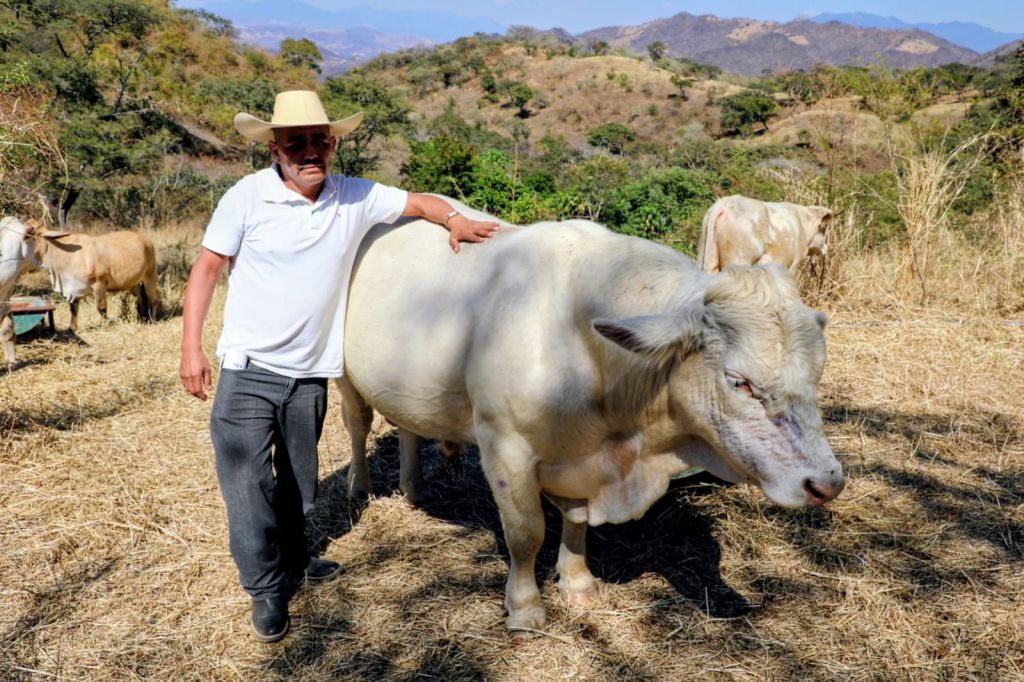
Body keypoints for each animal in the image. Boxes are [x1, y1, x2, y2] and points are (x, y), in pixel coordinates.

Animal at [25, 222, 160, 332]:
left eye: (28, 235)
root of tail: (146, 239)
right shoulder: (73, 289)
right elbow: (73, 308)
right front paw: (72, 328)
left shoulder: (99, 284)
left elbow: (101, 307)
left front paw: (106, 325)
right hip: (133, 283)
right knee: (140, 298)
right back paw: (141, 318)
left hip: (150, 275)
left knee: (153, 299)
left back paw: (152, 320)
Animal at [696, 195, 833, 273]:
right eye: (825, 230)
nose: (826, 248)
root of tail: (728, 202)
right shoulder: (792, 265)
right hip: (738, 259)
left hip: (706, 255)